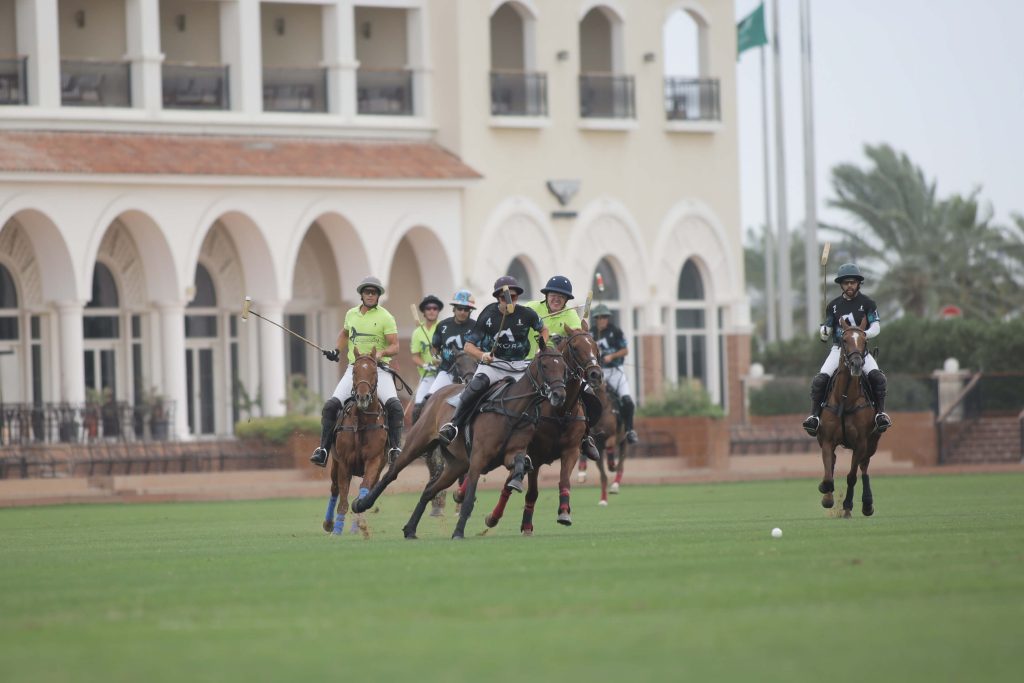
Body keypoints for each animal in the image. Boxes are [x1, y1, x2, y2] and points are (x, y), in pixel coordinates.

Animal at [325, 350, 389, 536]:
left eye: (374, 372)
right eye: (354, 372)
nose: (362, 397)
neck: (362, 423)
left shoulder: (374, 461)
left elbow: (364, 490)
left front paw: (359, 522)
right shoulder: (344, 463)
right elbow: (343, 497)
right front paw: (337, 529)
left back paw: (356, 524)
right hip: (335, 464)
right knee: (334, 488)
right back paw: (329, 523)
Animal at [352, 344, 569, 540]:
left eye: (563, 367)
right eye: (545, 365)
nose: (559, 395)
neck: (513, 409)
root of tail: (437, 394)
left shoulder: (510, 452)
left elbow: (518, 462)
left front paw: (516, 479)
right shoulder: (479, 459)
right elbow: (469, 498)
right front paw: (458, 532)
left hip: (456, 464)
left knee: (429, 490)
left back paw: (410, 529)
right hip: (417, 442)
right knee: (392, 473)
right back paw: (361, 504)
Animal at [481, 327, 602, 532]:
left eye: (595, 346)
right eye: (575, 347)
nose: (595, 374)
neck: (559, 410)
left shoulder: (571, 450)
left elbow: (564, 481)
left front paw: (564, 512)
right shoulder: (534, 455)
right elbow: (531, 492)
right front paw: (526, 525)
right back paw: (487, 513)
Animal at [815, 317, 880, 516]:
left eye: (864, 340)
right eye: (844, 340)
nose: (857, 364)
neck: (845, 398)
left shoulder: (860, 443)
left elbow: (852, 476)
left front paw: (847, 506)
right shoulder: (827, 440)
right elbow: (828, 474)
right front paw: (827, 496)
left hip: (873, 441)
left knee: (864, 467)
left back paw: (867, 504)